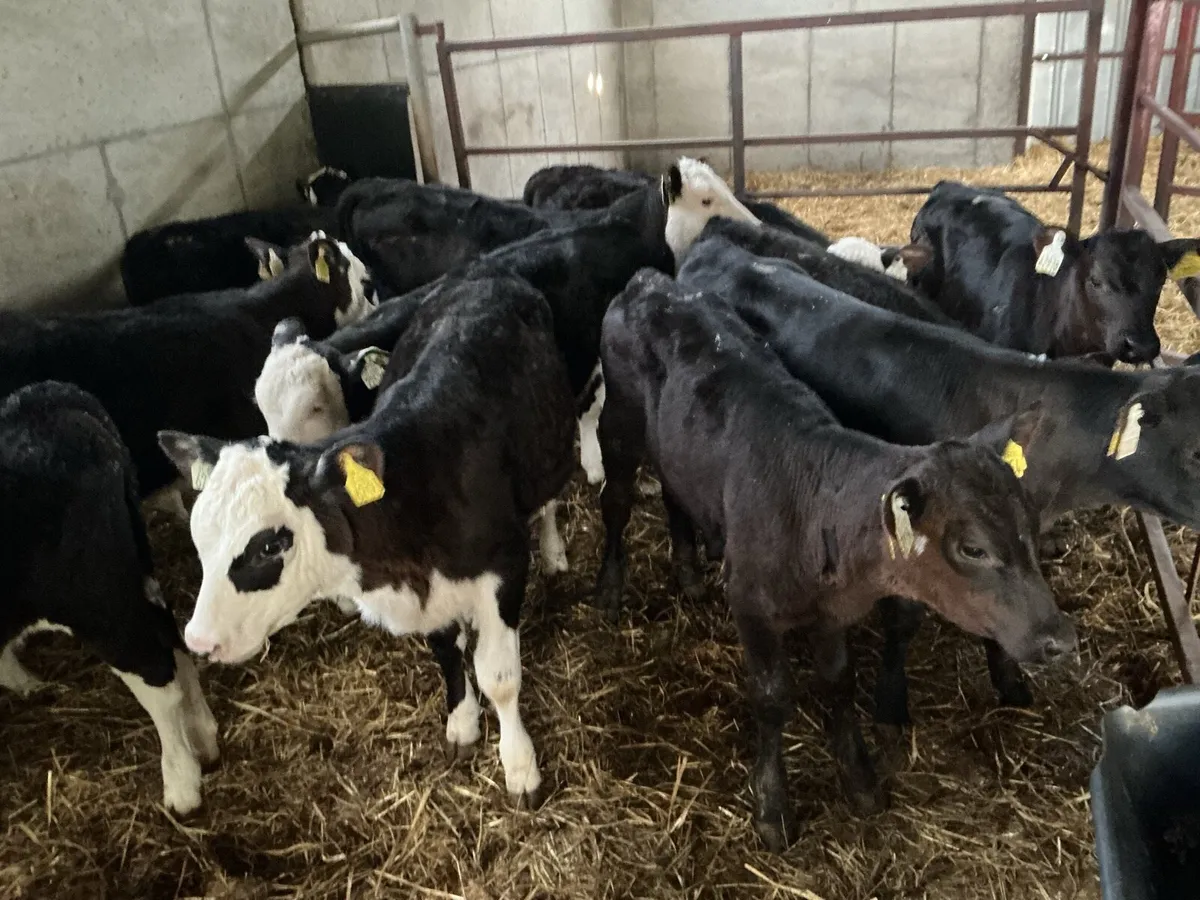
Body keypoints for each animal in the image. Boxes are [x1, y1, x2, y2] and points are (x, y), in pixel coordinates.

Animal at [0, 381, 219, 815]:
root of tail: (50, 398)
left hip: (96, 600)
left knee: (157, 676)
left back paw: (182, 786)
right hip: (133, 575)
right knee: (172, 640)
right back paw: (203, 740)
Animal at [157, 271, 577, 810]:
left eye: (270, 545)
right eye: (200, 539)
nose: (198, 640)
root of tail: (484, 274)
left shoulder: (504, 566)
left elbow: (499, 676)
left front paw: (520, 767)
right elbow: (447, 650)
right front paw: (462, 723)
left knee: (547, 505)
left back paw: (555, 551)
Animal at [594, 269, 1075, 851]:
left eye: (1031, 524)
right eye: (973, 547)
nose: (1060, 637)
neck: (809, 508)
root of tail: (651, 281)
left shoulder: (832, 614)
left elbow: (840, 683)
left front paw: (860, 779)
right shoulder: (749, 604)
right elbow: (773, 697)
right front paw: (773, 808)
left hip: (675, 447)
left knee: (673, 489)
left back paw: (686, 570)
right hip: (618, 422)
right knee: (616, 500)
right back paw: (610, 588)